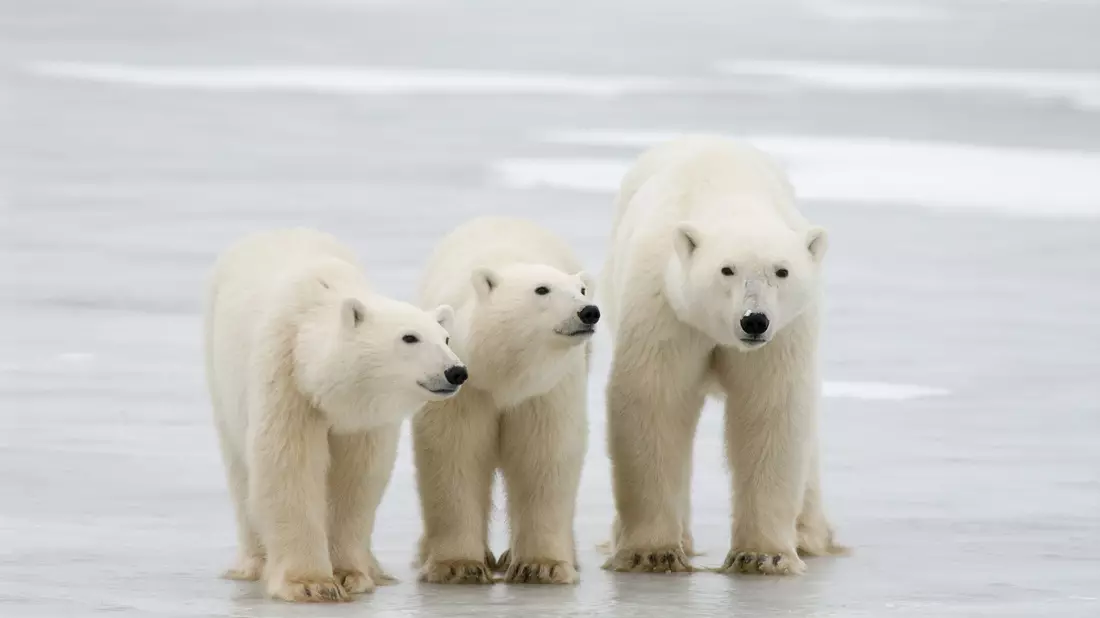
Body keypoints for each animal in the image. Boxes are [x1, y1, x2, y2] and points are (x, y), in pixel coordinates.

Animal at [204, 228, 468, 602]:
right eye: (409, 337)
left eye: (446, 338)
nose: (456, 372)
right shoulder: (286, 378)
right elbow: (289, 466)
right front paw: (310, 583)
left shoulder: (363, 418)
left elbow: (357, 478)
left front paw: (349, 575)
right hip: (220, 370)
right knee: (240, 468)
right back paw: (252, 563)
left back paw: (378, 569)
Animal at [411, 216, 597, 585]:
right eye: (542, 290)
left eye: (581, 291)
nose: (589, 312)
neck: (503, 374)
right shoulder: (465, 390)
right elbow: (454, 453)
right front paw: (458, 565)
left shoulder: (545, 391)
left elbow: (543, 455)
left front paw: (542, 566)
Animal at [601, 136, 843, 576]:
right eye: (726, 269)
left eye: (781, 271)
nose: (754, 320)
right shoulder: (666, 307)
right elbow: (655, 400)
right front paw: (653, 552)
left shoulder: (783, 334)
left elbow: (769, 409)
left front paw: (764, 556)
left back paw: (809, 535)